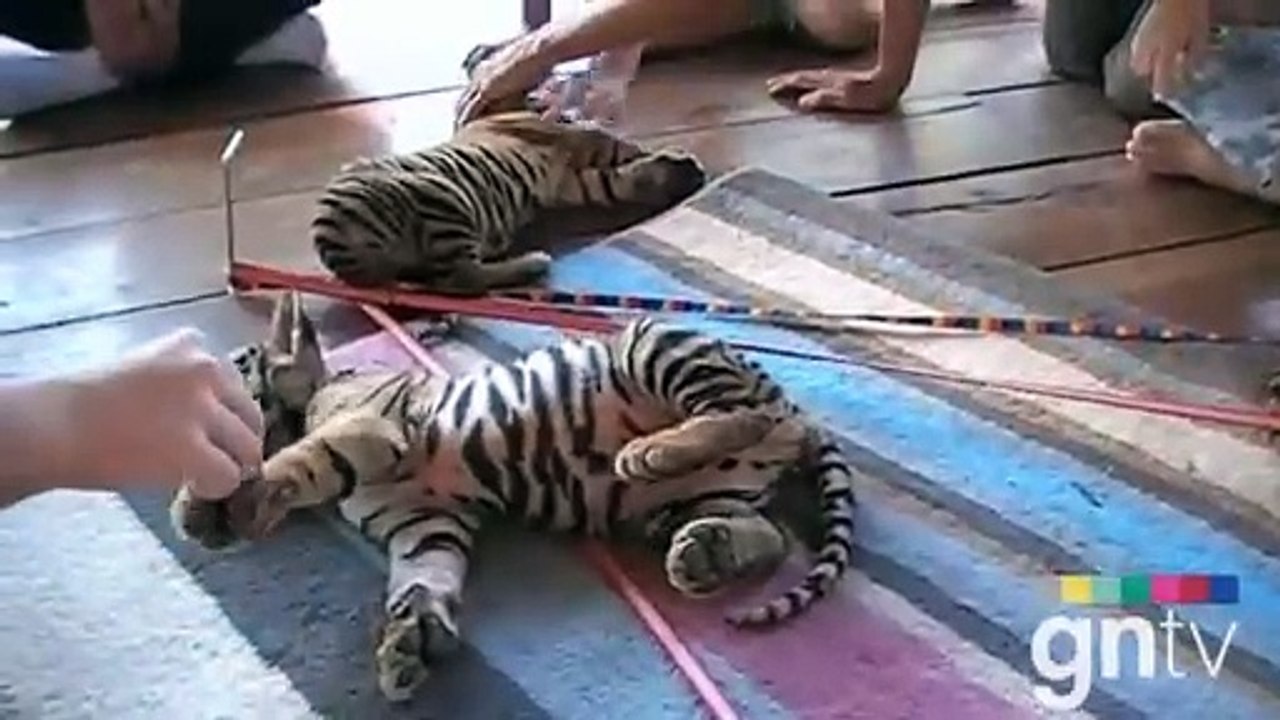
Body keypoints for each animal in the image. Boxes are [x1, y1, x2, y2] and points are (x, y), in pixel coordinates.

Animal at [168, 291, 858, 703]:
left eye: (232, 366)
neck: (321, 386)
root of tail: (797, 412)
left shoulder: (373, 429)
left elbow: (296, 459)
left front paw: (217, 507)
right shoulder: (427, 523)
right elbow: (422, 583)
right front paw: (409, 644)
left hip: (654, 341)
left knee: (739, 413)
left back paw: (651, 453)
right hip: (693, 501)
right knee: (768, 535)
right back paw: (705, 554)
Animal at [309, 108, 708, 294]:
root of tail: (328, 236)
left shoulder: (568, 181)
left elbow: (619, 179)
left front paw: (673, 174)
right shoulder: (571, 143)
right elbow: (617, 146)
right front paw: (678, 163)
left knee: (448, 277)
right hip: (442, 195)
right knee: (463, 277)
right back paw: (533, 262)